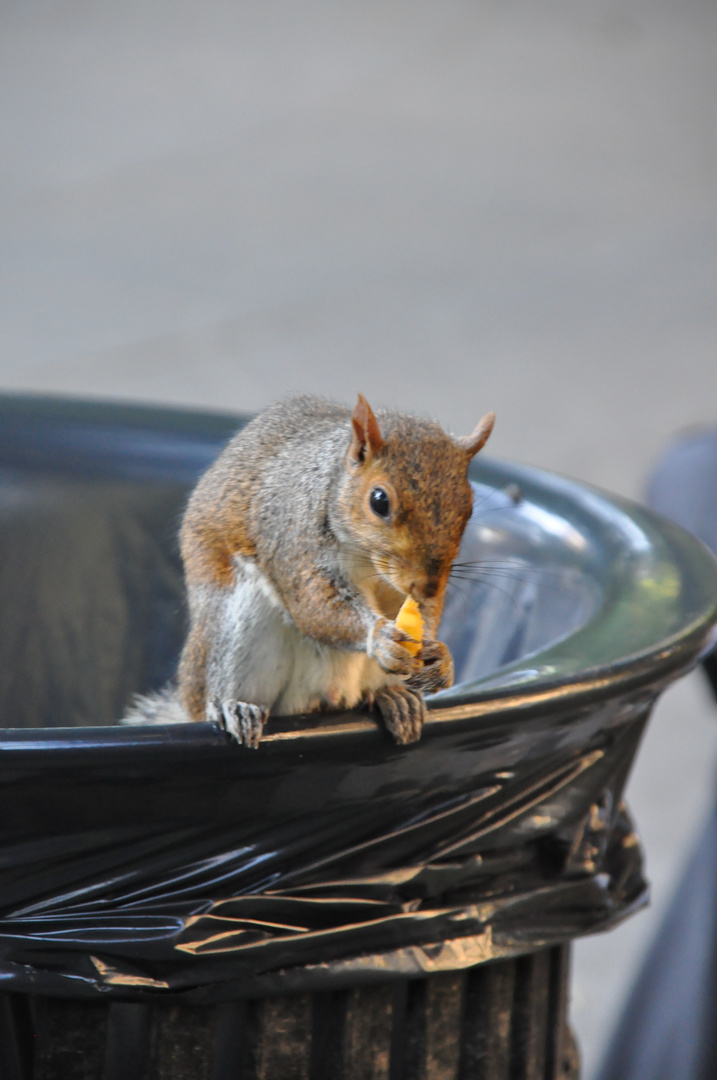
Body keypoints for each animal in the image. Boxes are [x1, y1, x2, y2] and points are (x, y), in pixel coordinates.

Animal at [125, 395, 492, 751]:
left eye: (470, 508)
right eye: (379, 501)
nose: (428, 586)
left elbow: (426, 613)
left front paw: (442, 659)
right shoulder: (292, 539)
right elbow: (315, 605)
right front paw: (379, 638)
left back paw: (395, 698)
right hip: (236, 627)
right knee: (217, 694)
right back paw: (236, 708)